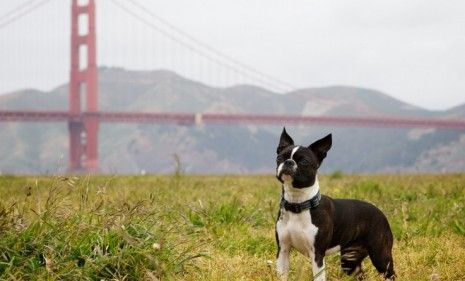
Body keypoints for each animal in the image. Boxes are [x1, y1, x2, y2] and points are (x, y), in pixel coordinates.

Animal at [276, 128, 396, 278]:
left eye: (304, 161)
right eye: (280, 158)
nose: (288, 162)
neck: (297, 203)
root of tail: (380, 212)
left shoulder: (317, 254)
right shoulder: (283, 250)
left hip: (380, 255)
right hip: (349, 260)